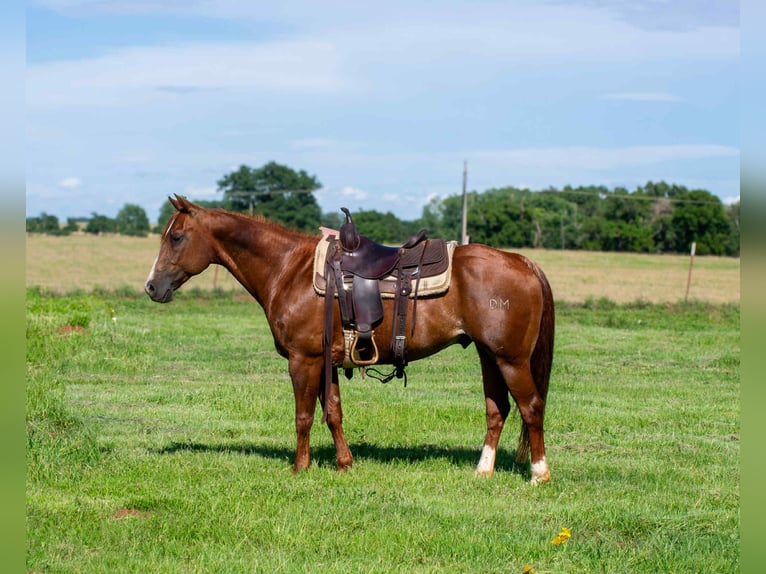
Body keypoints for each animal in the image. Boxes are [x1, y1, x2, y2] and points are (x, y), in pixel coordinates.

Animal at [145, 195, 555, 484]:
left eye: (176, 237)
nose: (151, 287)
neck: (288, 269)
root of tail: (524, 262)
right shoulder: (326, 360)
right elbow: (333, 412)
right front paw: (344, 464)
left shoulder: (304, 360)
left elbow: (304, 416)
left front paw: (300, 468)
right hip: (489, 356)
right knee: (497, 410)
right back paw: (483, 471)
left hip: (511, 360)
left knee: (531, 407)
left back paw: (539, 474)